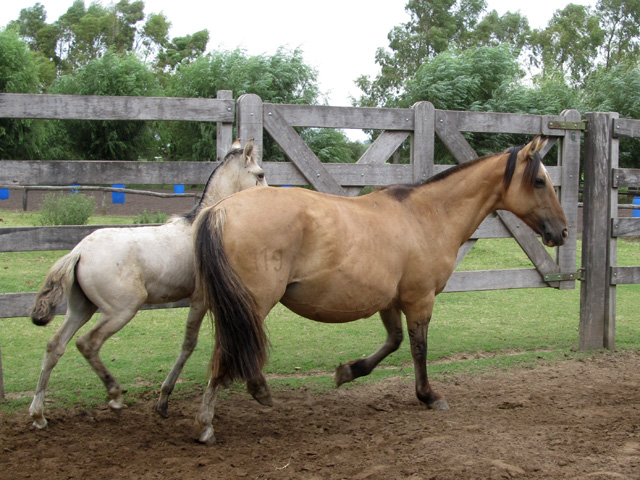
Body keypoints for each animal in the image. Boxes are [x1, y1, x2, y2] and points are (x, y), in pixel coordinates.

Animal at [30, 138, 270, 428]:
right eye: (260, 174)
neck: (204, 224)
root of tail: (79, 252)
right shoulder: (201, 299)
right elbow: (190, 344)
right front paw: (164, 400)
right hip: (121, 310)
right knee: (87, 343)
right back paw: (115, 395)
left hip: (81, 308)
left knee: (55, 346)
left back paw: (38, 415)